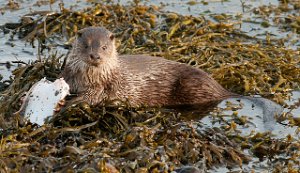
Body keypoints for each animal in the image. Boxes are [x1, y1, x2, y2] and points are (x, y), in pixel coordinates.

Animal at [62, 26, 239, 107]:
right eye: (86, 45)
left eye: (104, 47)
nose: (95, 56)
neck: (86, 78)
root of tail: (221, 88)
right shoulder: (68, 75)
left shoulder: (102, 86)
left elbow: (90, 97)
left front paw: (68, 103)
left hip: (193, 85)